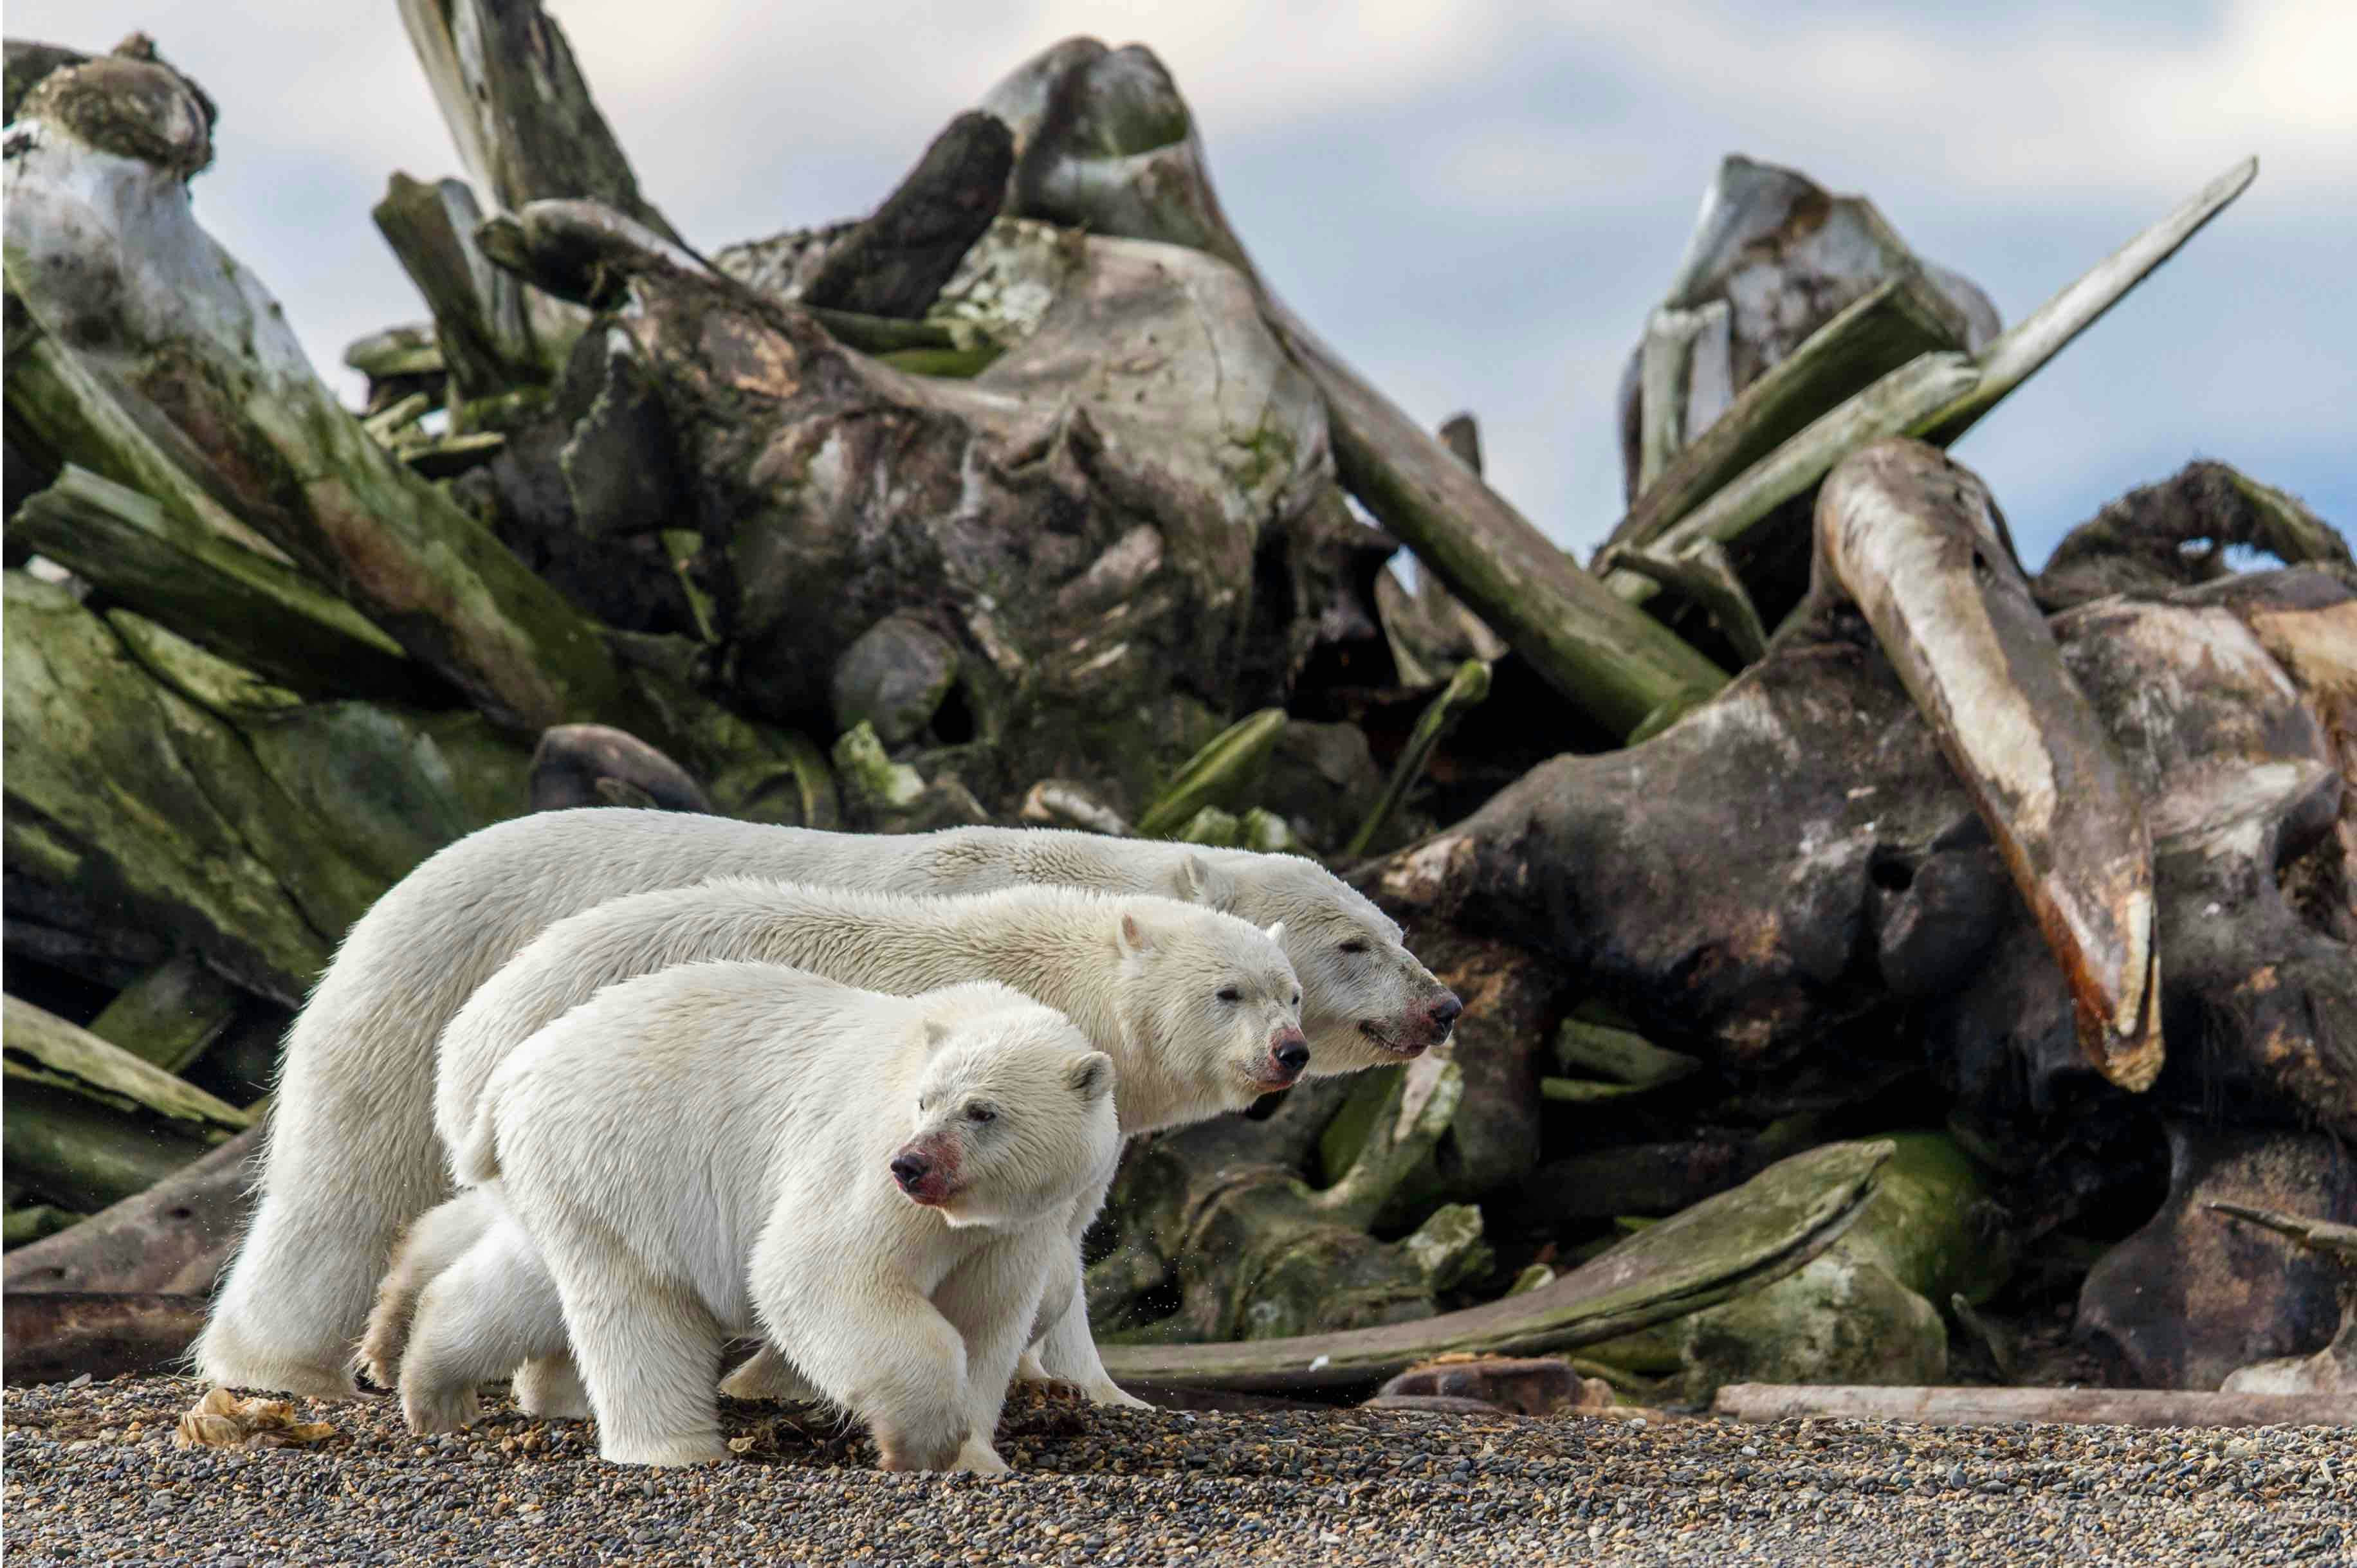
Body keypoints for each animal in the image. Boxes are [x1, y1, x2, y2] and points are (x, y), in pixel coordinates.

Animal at [203, 806, 1461, 1396]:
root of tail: (391, 891)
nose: (1445, 1003)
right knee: (341, 1189)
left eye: (1397, 926)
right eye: (1356, 941)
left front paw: (1094, 1386)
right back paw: (278, 1362)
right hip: (418, 1003)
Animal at [393, 967, 1112, 1471]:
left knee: (531, 1280)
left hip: (572, 1180)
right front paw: (922, 1439)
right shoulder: (865, 1163)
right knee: (639, 1303)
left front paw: (975, 1456)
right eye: (925, 1101)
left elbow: (985, 1320)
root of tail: (515, 1068)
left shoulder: (1013, 1226)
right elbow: (816, 1270)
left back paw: (433, 1383)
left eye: (981, 1110)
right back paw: (676, 1447)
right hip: (625, 1154)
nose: (912, 1165)